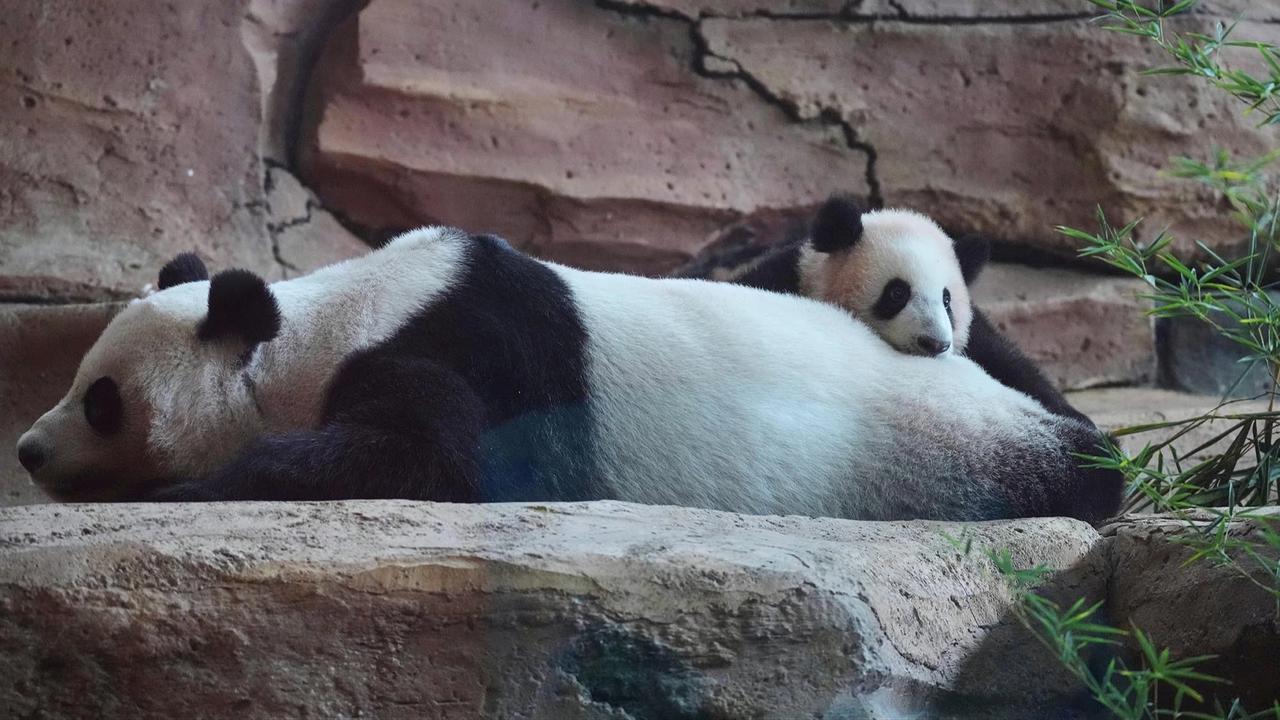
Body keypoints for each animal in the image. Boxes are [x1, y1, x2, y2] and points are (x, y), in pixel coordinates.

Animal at [15, 227, 1121, 522]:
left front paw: (188, 486)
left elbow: (429, 462)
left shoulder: (468, 349)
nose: (26, 449)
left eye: (100, 399)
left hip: (947, 449)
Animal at [729, 195, 1089, 423]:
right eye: (896, 293)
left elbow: (1011, 362)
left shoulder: (978, 338)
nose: (935, 344)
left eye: (947, 300)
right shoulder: (783, 275)